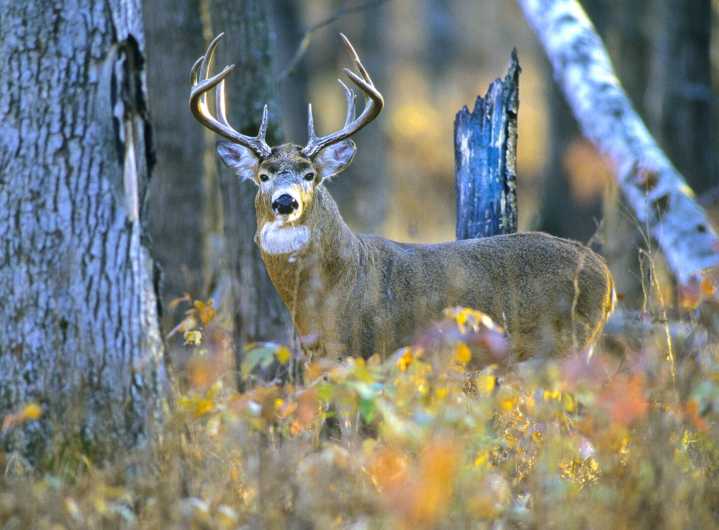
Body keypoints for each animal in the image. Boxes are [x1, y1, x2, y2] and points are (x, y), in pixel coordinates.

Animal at [189, 33, 616, 363]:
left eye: (311, 175)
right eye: (262, 177)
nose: (284, 202)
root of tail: (607, 276)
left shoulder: (369, 349)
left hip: (568, 346)